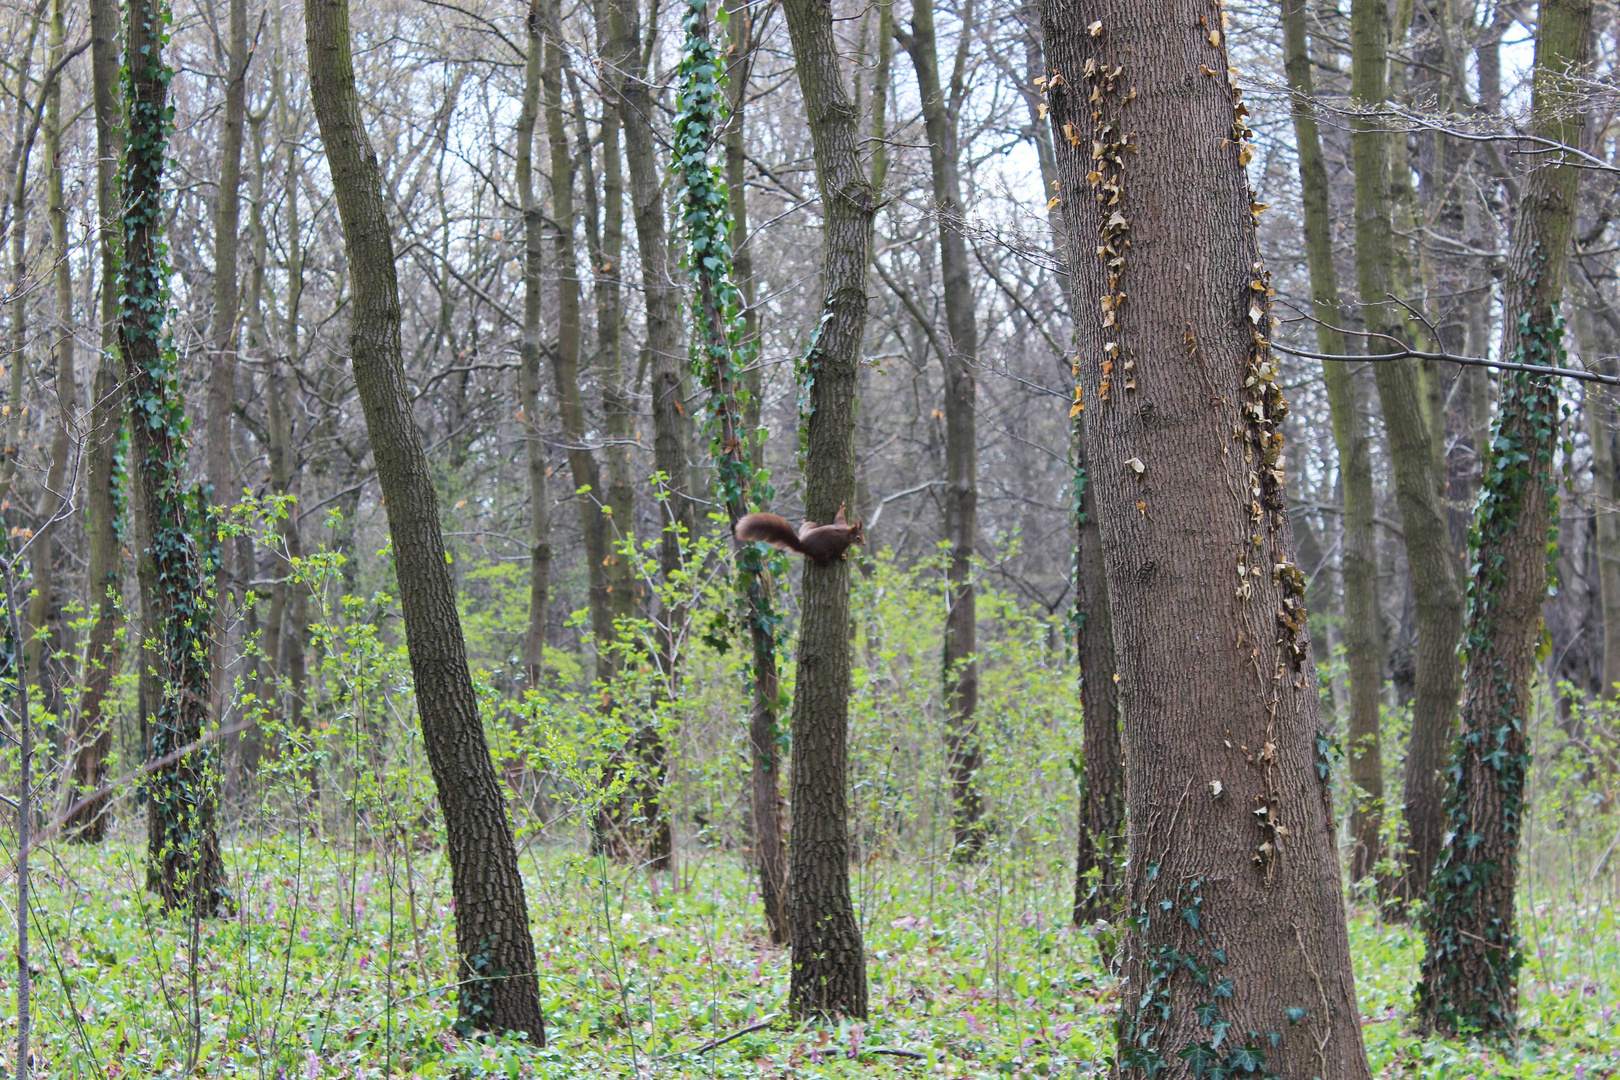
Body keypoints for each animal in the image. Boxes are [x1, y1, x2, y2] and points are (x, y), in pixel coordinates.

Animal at [732, 501, 861, 563]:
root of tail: (802, 545)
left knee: (808, 525)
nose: (863, 543)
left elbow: (839, 517)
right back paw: (823, 563)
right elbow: (837, 553)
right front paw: (843, 557)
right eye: (858, 537)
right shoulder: (841, 543)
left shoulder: (841, 523)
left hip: (810, 526)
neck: (847, 532)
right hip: (821, 552)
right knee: (818, 559)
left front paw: (842, 507)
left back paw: (804, 522)